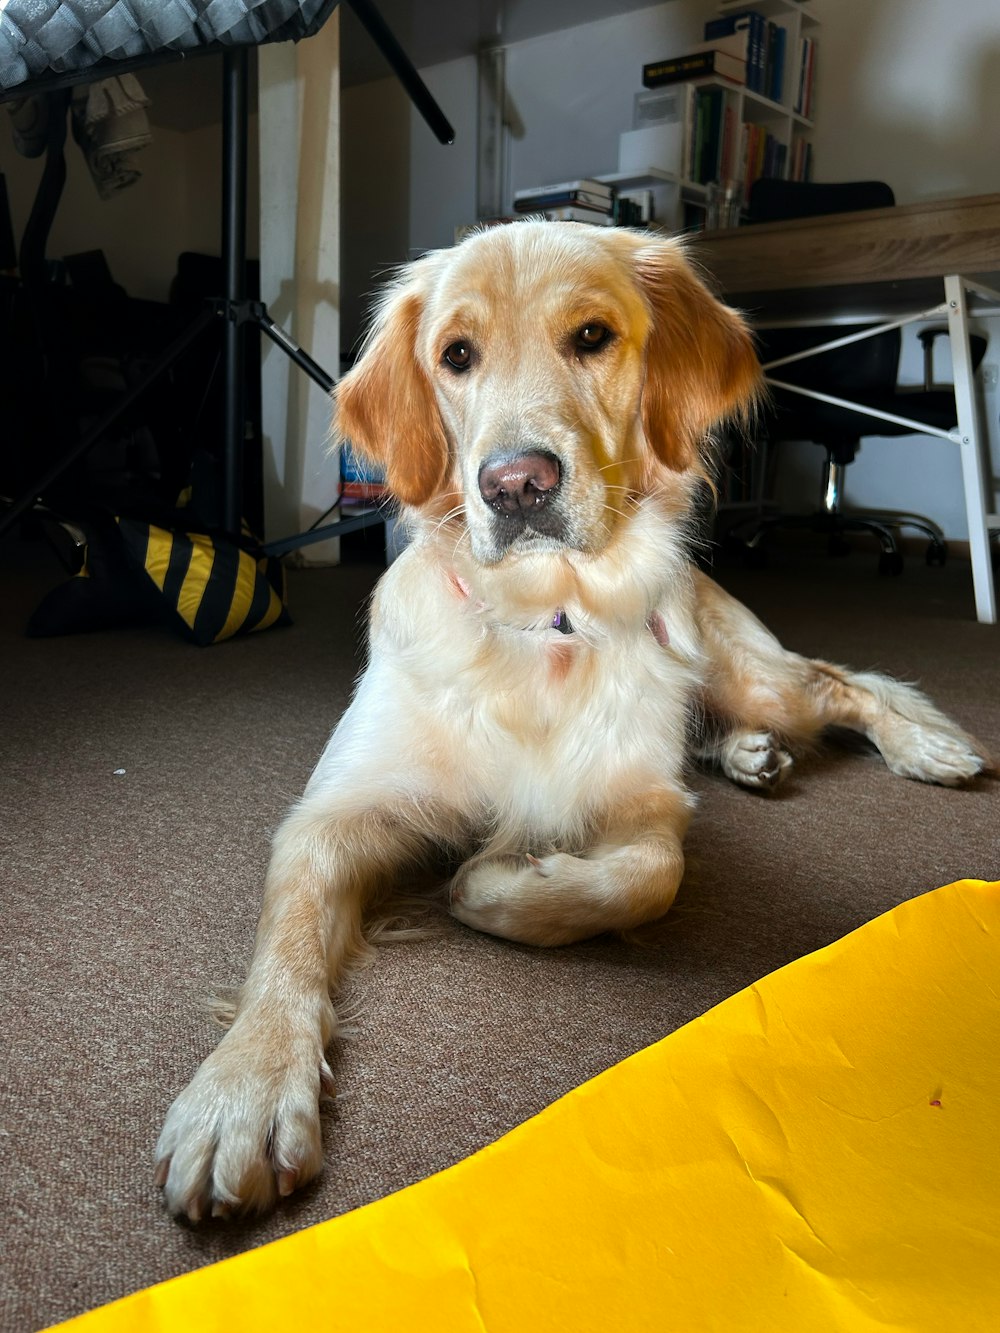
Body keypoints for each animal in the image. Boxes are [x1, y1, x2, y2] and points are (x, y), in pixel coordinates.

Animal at [154, 223, 986, 1221]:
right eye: (456, 355)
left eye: (592, 336)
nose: (517, 484)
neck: (540, 623)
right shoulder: (336, 809)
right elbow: (288, 940)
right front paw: (242, 1090)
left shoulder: (643, 803)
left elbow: (644, 875)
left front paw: (499, 875)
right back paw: (754, 756)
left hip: (748, 672)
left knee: (835, 682)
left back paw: (924, 743)